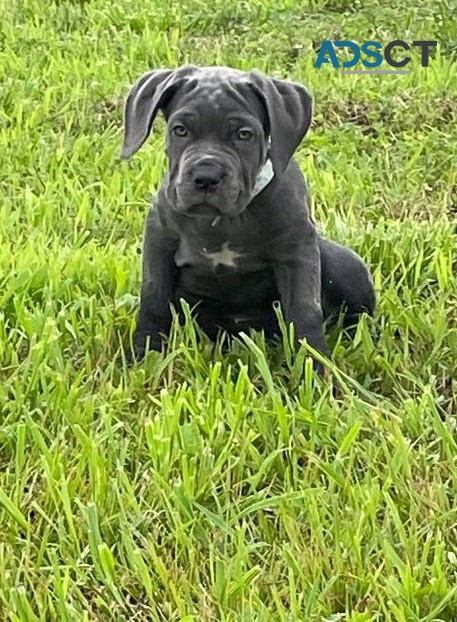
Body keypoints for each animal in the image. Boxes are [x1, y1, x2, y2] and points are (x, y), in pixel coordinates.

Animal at [121, 66, 374, 372]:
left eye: (244, 134)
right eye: (180, 130)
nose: (206, 177)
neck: (225, 221)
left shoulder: (297, 253)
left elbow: (304, 311)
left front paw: (315, 371)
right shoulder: (159, 241)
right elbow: (154, 300)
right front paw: (144, 358)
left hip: (344, 261)